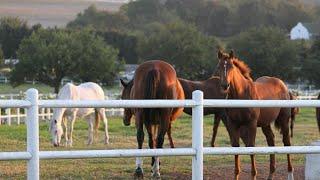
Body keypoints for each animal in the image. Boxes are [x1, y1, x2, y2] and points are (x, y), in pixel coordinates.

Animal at [216, 49, 294, 180]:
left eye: (231, 66)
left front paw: (253, 175)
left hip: (284, 120)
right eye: (219, 66)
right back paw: (271, 174)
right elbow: (236, 147)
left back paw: (290, 172)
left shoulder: (251, 124)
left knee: (286, 142)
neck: (241, 94)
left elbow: (251, 146)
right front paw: (236, 175)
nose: (224, 85)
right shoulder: (233, 124)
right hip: (265, 124)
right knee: (271, 140)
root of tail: (282, 84)